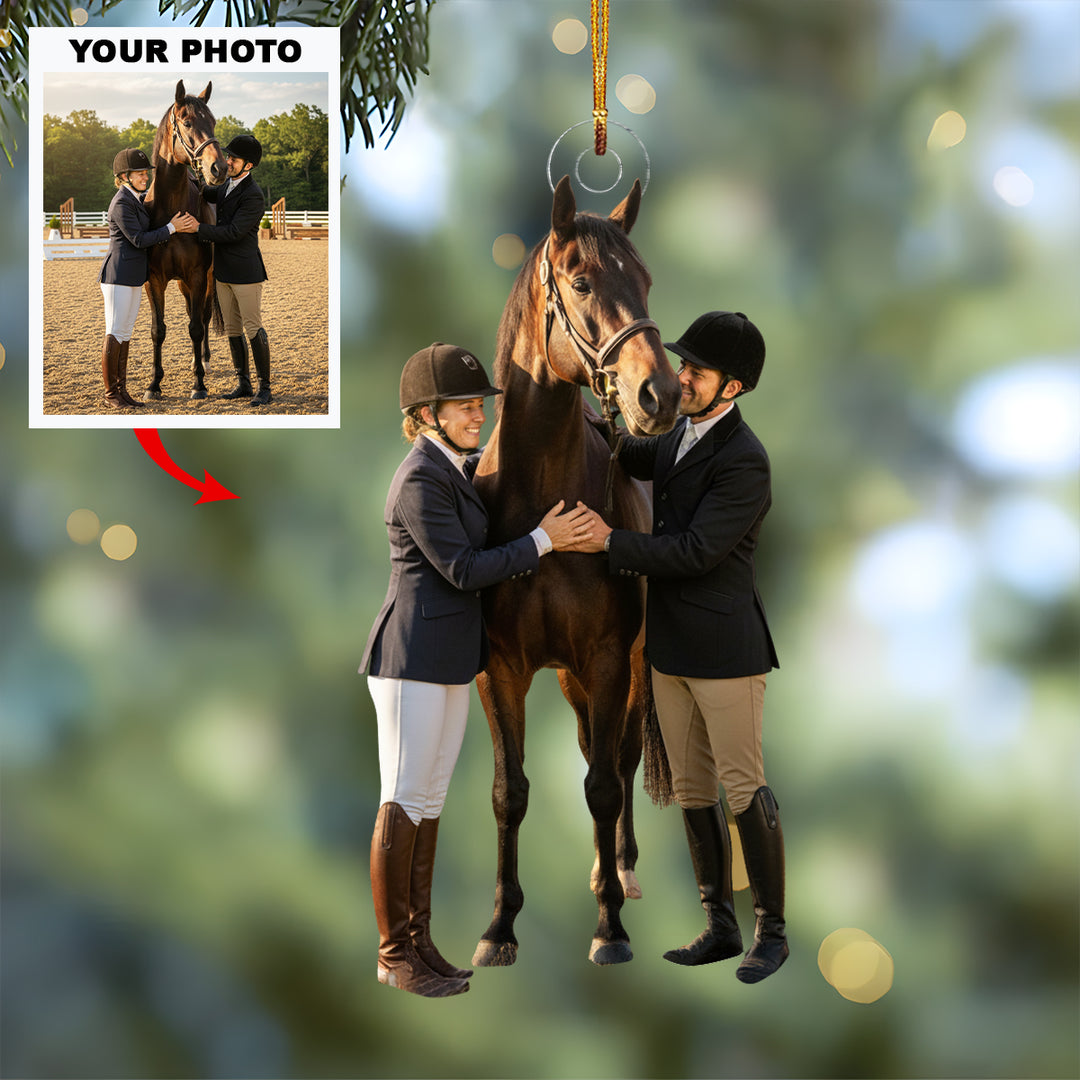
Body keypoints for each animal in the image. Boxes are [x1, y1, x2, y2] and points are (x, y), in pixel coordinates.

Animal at [143, 80, 227, 401]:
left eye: (213, 122)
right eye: (187, 122)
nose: (219, 169)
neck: (171, 211)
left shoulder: (198, 275)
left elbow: (196, 327)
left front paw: (199, 384)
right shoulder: (154, 279)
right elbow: (158, 330)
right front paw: (154, 385)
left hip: (206, 278)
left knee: (202, 317)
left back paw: (202, 360)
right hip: (182, 284)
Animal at [471, 175, 681, 966]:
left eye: (646, 281)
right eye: (582, 281)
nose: (661, 396)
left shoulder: (609, 658)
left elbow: (604, 787)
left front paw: (610, 929)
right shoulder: (499, 668)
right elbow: (510, 792)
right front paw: (498, 929)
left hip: (629, 663)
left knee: (617, 762)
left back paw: (618, 873)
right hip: (570, 678)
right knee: (597, 751)